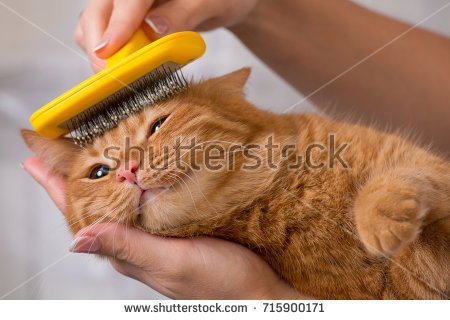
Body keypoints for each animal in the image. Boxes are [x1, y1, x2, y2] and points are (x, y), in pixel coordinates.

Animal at [22, 68, 450, 300]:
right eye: (98, 173)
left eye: (158, 125)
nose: (128, 169)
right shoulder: (393, 291)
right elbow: (418, 261)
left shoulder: (418, 162)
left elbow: (399, 177)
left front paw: (382, 217)